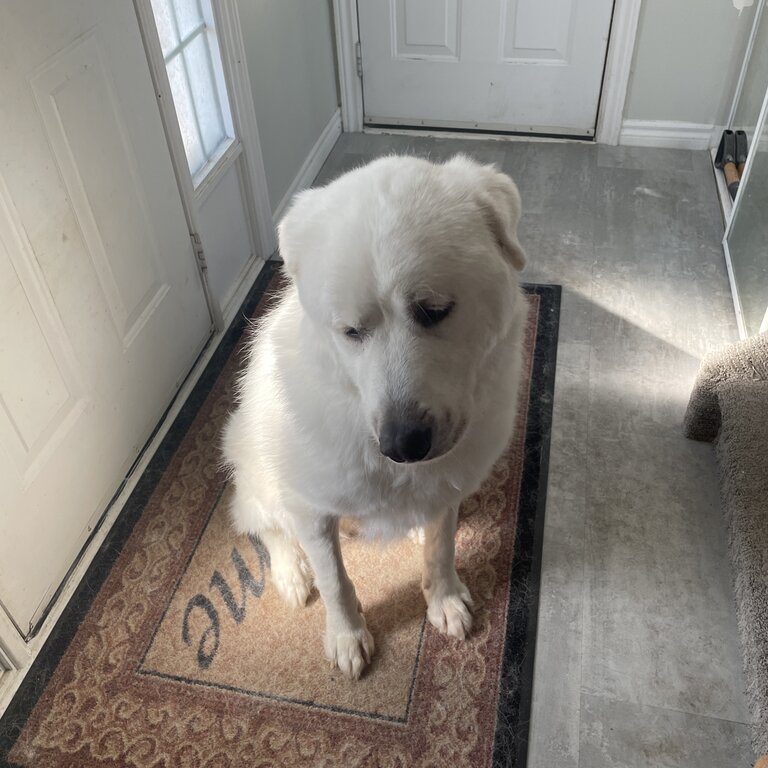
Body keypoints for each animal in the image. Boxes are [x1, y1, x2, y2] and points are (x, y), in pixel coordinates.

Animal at [222, 154, 528, 680]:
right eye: (351, 332)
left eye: (434, 310)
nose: (403, 445)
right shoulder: (312, 509)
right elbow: (335, 581)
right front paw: (347, 636)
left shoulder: (450, 481)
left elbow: (441, 546)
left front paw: (443, 597)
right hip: (255, 466)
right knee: (266, 525)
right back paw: (290, 572)